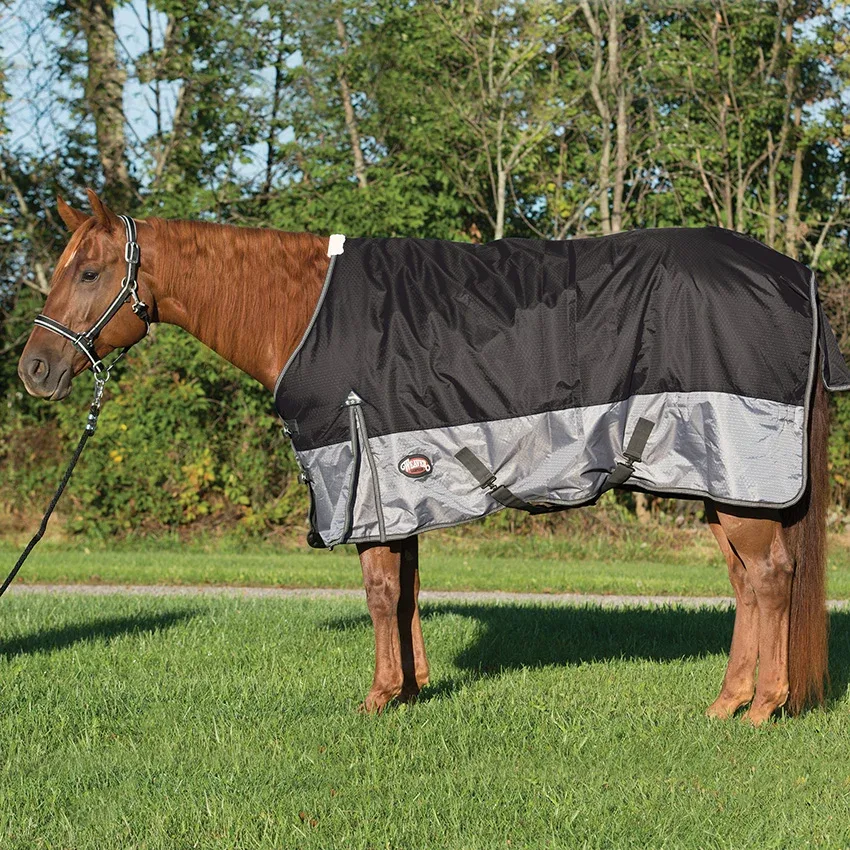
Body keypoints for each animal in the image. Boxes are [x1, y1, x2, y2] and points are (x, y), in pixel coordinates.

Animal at [17, 189, 829, 725]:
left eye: (88, 273)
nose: (34, 370)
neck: (305, 316)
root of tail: (797, 277)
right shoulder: (399, 485)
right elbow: (404, 592)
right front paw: (411, 689)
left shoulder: (363, 477)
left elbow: (381, 593)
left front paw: (377, 699)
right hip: (723, 482)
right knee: (747, 583)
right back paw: (728, 702)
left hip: (742, 480)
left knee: (770, 577)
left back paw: (764, 707)